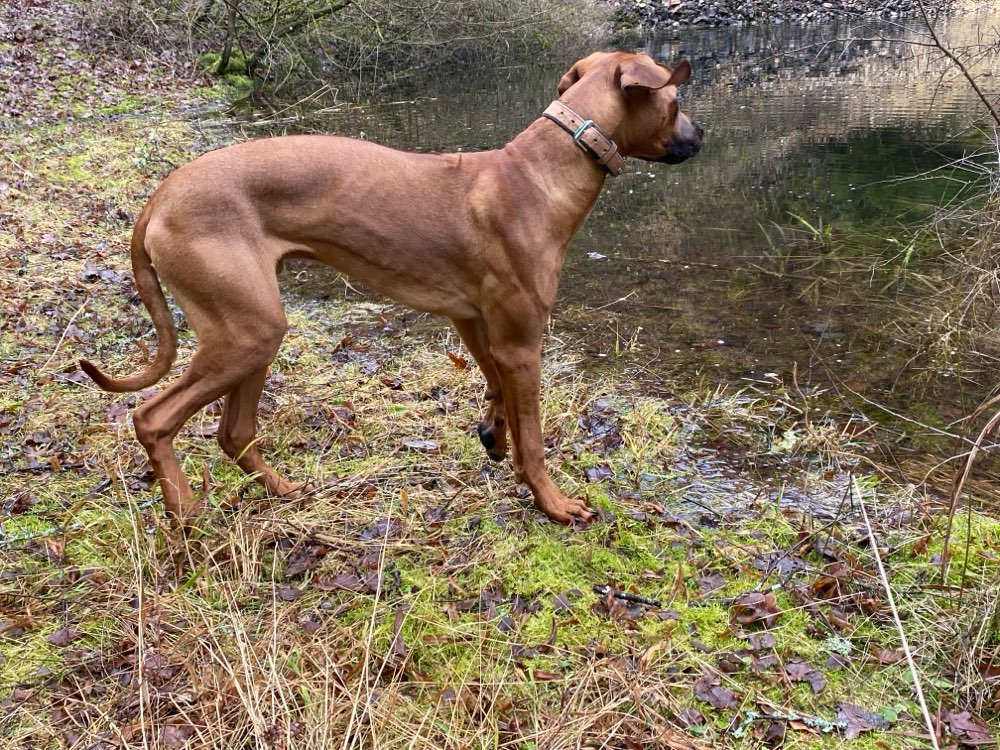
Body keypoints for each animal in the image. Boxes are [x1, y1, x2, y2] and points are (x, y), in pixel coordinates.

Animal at [80, 50, 704, 524]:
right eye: (675, 102)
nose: (701, 135)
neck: (540, 173)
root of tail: (161, 195)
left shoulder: (476, 324)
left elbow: (495, 389)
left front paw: (492, 432)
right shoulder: (523, 344)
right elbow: (534, 439)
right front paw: (552, 502)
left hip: (253, 330)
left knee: (234, 433)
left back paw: (281, 491)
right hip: (244, 333)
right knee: (153, 419)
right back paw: (186, 513)